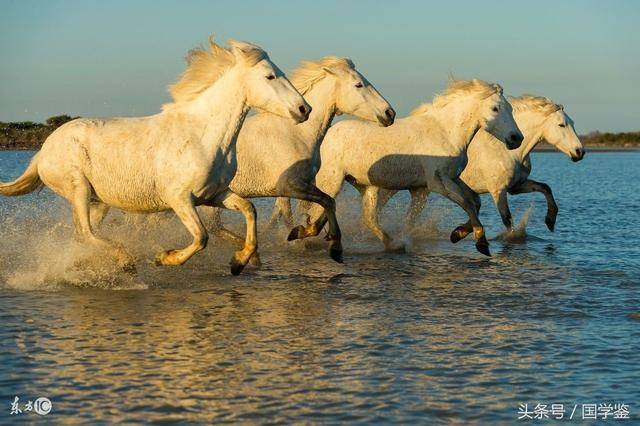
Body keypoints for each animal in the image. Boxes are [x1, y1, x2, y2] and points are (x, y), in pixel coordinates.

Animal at [0, 37, 310, 276]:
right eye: (270, 76)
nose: (304, 109)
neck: (202, 135)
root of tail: (43, 151)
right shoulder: (179, 198)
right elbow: (202, 237)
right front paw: (165, 257)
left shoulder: (215, 194)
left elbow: (249, 210)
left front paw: (238, 262)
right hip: (77, 189)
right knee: (85, 232)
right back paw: (126, 261)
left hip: (98, 201)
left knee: (81, 235)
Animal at [206, 56, 396, 262]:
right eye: (358, 84)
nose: (390, 113)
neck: (295, 134)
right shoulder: (291, 186)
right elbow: (325, 203)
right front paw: (331, 247)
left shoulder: (305, 184)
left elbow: (326, 203)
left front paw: (303, 231)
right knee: (212, 227)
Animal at [292, 78, 524, 255]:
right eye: (495, 108)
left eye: (511, 108)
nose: (516, 138)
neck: (445, 132)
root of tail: (326, 135)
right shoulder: (437, 182)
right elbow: (467, 203)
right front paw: (480, 242)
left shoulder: (447, 180)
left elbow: (475, 202)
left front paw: (458, 233)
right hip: (333, 180)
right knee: (322, 206)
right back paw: (304, 237)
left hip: (365, 185)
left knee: (363, 216)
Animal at [370, 94, 584, 240]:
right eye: (562, 125)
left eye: (572, 123)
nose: (580, 152)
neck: (507, 150)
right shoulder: (498, 190)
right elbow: (506, 219)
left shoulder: (516, 186)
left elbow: (545, 188)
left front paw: (550, 221)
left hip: (417, 189)